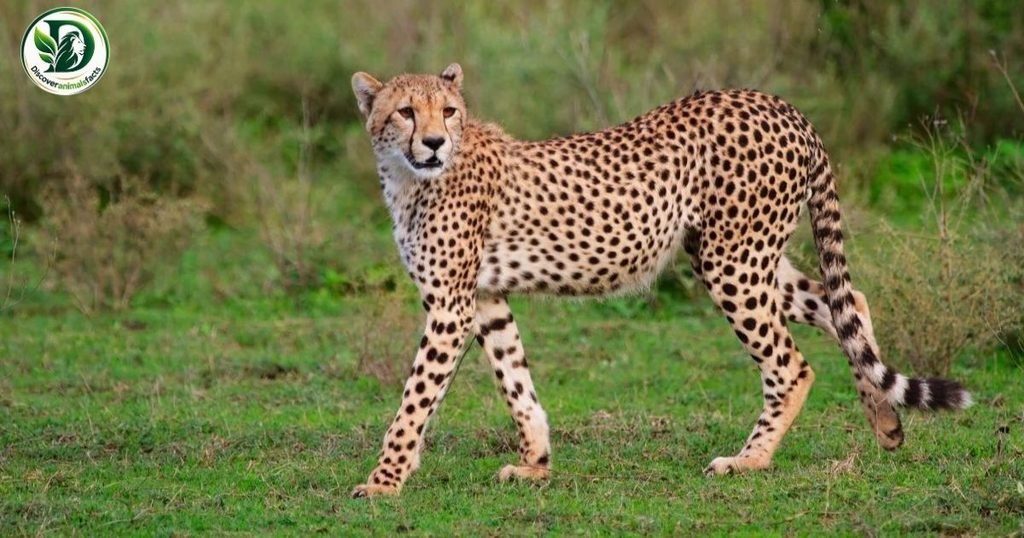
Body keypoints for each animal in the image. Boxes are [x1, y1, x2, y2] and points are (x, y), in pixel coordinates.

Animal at [348, 63, 971, 498]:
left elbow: (414, 401)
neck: (409, 178)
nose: (434, 142)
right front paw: (536, 464)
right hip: (745, 256)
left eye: (449, 111)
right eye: (405, 112)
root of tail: (780, 104)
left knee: (792, 364)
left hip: (731, 261)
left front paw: (383, 481)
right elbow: (515, 380)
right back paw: (885, 422)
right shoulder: (484, 298)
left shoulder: (450, 307)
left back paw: (749, 460)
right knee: (848, 302)